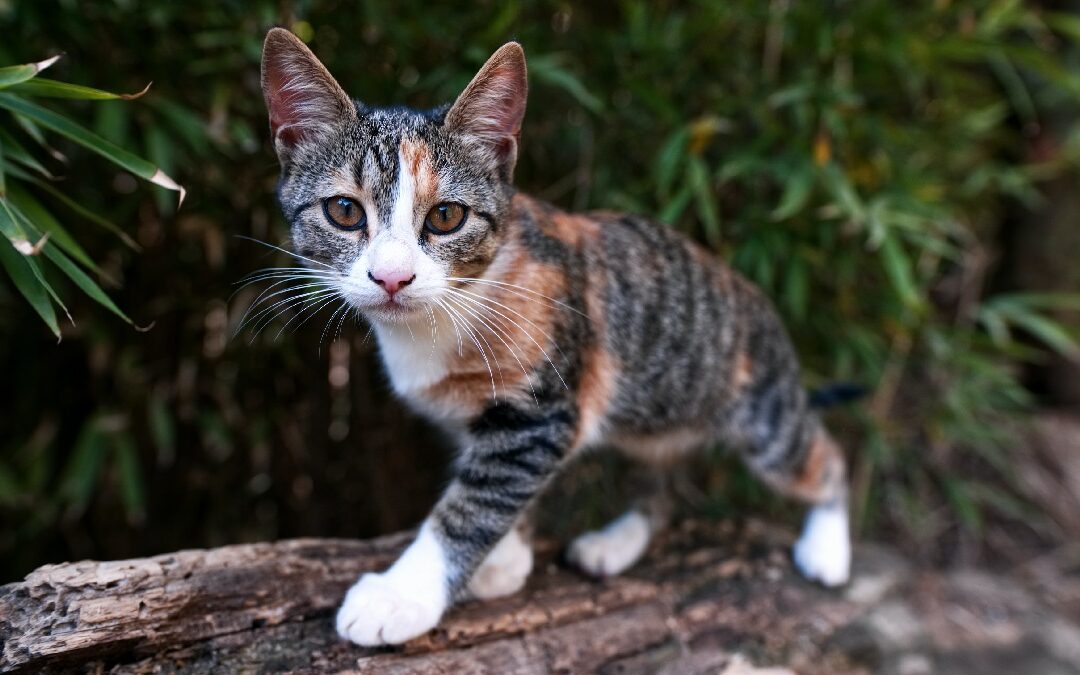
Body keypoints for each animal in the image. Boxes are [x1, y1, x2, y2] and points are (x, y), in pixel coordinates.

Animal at [261, 27, 851, 648]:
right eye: (344, 211)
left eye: (446, 217)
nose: (393, 277)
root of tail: (755, 294)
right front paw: (506, 559)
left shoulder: (542, 409)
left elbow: (475, 502)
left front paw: (404, 594)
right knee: (660, 481)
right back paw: (617, 542)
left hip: (761, 412)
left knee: (819, 456)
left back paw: (828, 548)